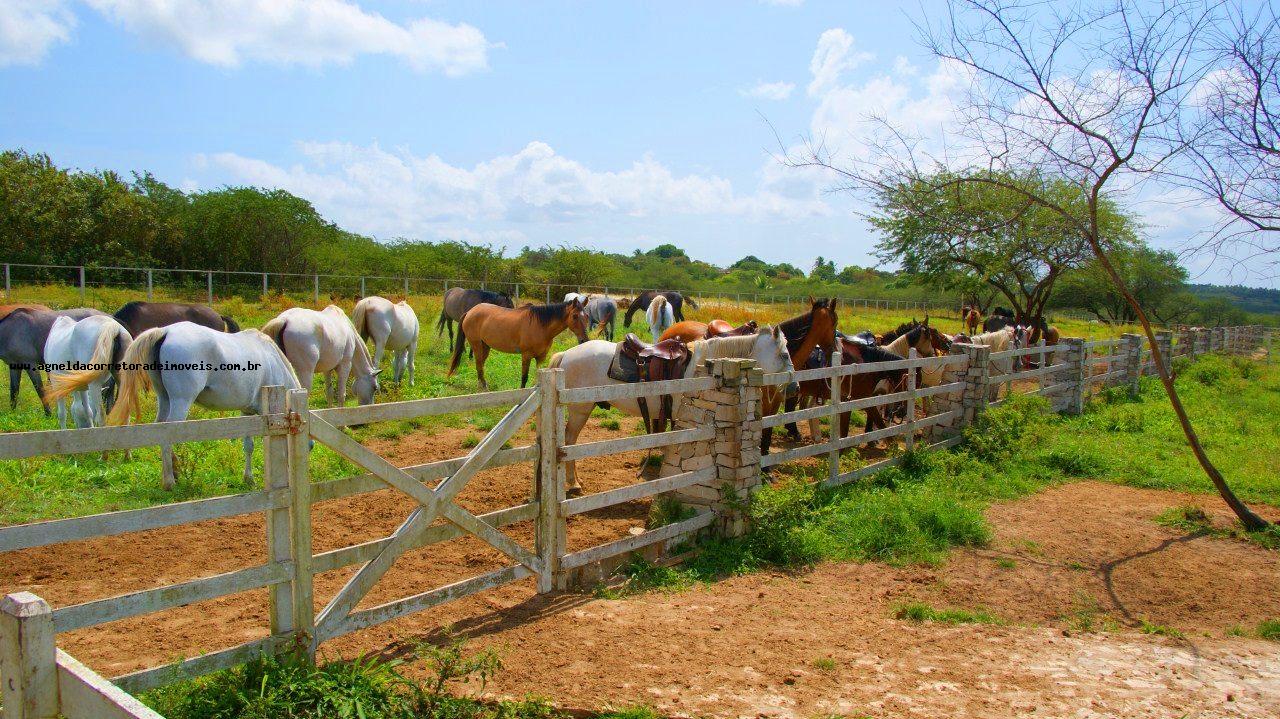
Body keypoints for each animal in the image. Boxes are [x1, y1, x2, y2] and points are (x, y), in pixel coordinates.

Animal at [51, 324, 303, 486]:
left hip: (165, 399)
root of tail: (165, 332)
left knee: (161, 428)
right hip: (181, 402)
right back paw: (170, 480)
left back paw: (173, 471)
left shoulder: (247, 413)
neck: (273, 361)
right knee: (170, 432)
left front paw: (248, 477)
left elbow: (248, 445)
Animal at [450, 298, 588, 388]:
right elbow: (524, 377)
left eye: (586, 315)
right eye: (575, 316)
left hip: (485, 346)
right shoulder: (526, 355)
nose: (584, 340)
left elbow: (537, 374)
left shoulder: (540, 357)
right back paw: (483, 387)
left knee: (480, 365)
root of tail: (470, 312)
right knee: (479, 364)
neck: (540, 325)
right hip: (477, 345)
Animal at [550, 327, 798, 496]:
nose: (795, 387)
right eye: (785, 354)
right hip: (580, 411)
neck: (701, 367)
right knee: (570, 442)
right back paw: (574, 484)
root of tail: (566, 354)